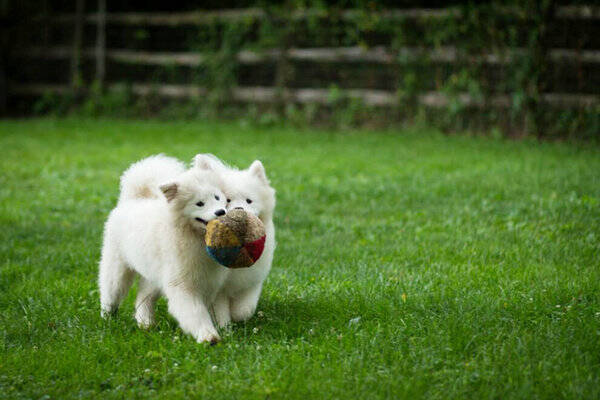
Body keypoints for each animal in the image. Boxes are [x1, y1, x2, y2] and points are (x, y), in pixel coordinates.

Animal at [98, 155, 230, 342]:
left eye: (217, 197)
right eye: (199, 203)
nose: (220, 212)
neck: (194, 236)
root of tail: (131, 200)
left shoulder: (211, 281)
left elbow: (213, 309)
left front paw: (222, 330)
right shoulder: (182, 284)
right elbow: (195, 311)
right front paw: (207, 336)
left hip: (154, 277)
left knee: (143, 298)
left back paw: (145, 323)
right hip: (118, 271)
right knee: (110, 293)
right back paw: (107, 318)